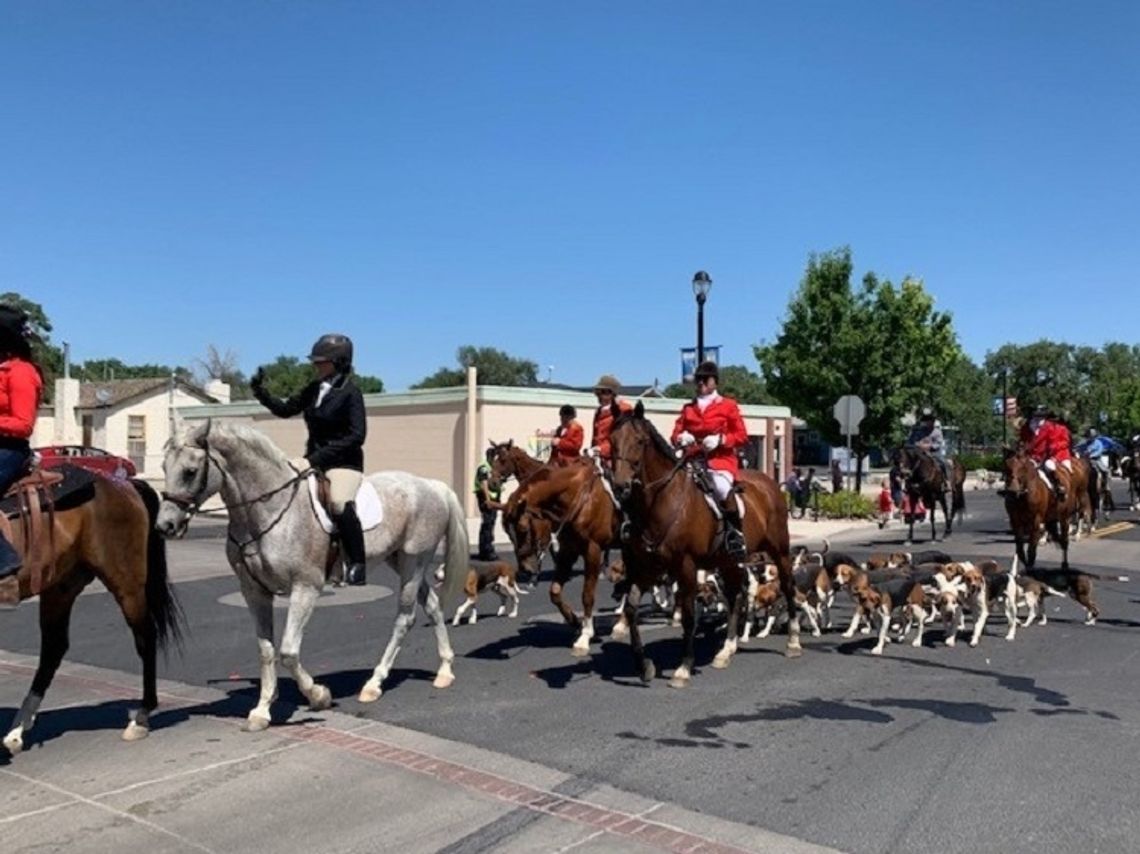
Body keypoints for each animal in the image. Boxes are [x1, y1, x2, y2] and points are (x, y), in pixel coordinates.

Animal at [1, 472, 182, 752]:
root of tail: (124, 483)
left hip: (125, 581)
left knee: (145, 637)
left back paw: (141, 718)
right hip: (60, 587)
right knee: (53, 649)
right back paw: (17, 730)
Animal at [156, 417, 467, 729]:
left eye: (190, 471)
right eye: (163, 467)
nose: (164, 526)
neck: (269, 512)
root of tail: (431, 486)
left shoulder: (305, 587)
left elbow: (288, 652)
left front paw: (318, 696)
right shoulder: (254, 592)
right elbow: (266, 650)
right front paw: (262, 710)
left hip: (413, 562)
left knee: (405, 618)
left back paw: (374, 684)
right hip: (401, 561)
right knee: (433, 606)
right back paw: (445, 670)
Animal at [494, 440, 620, 652]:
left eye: (523, 529)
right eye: (507, 533)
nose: (492, 481)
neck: (577, 494)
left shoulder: (592, 551)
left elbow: (587, 595)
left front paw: (586, 634)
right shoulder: (568, 550)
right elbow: (554, 591)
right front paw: (575, 622)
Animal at [611, 403, 798, 688]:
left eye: (640, 441)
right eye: (611, 440)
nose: (621, 486)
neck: (660, 502)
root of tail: (768, 482)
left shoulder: (685, 566)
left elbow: (689, 615)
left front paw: (683, 668)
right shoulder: (647, 567)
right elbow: (631, 608)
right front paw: (644, 666)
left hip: (780, 552)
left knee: (787, 587)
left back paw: (793, 642)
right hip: (729, 560)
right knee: (735, 596)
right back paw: (726, 650)